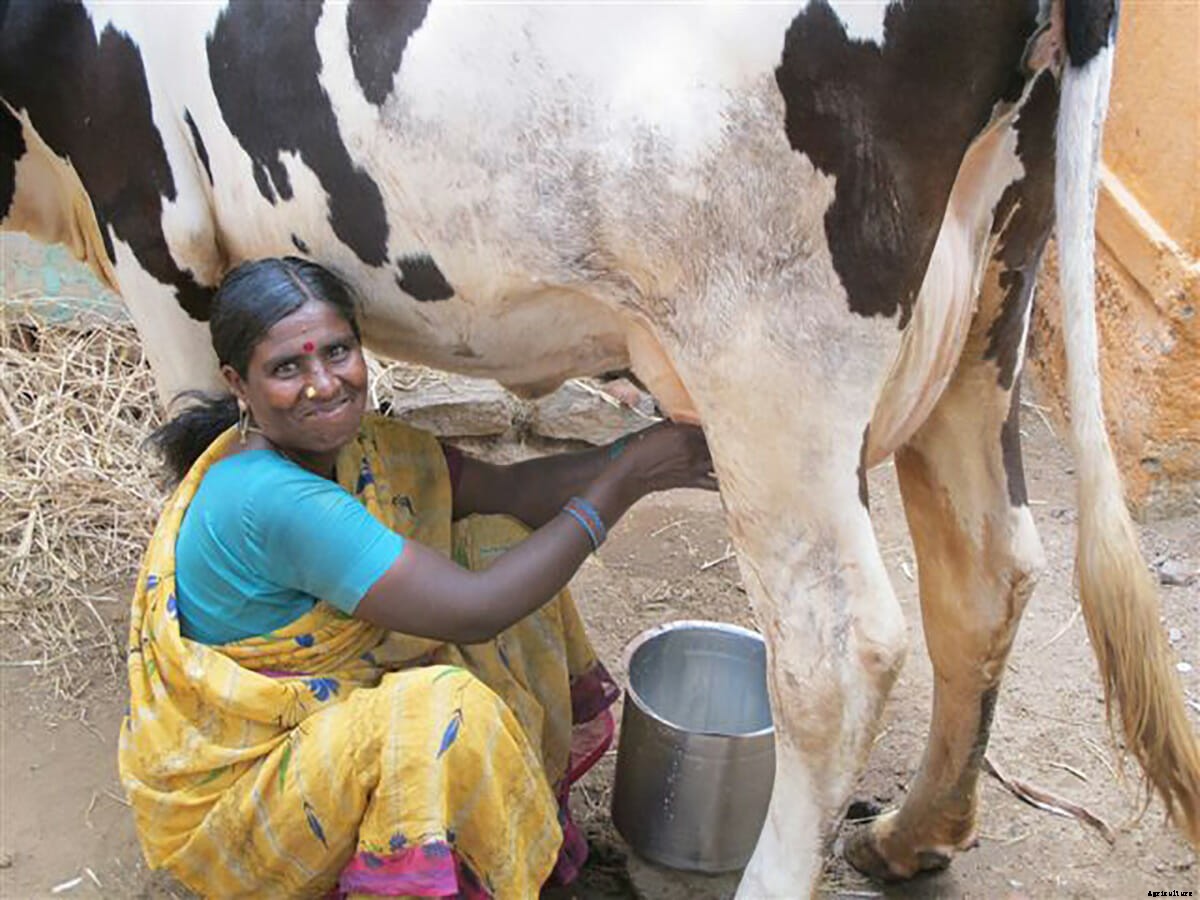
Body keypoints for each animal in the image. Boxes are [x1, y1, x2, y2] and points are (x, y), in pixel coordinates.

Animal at [3, 1, 1197, 895]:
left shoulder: (154, 226)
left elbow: (193, 451)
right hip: (992, 295)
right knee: (984, 573)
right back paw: (910, 837)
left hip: (773, 346)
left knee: (837, 651)